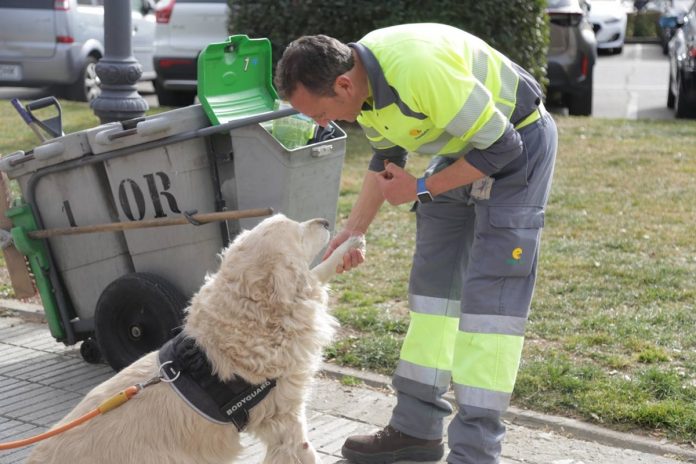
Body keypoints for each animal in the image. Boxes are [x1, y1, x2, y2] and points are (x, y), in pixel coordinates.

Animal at [27, 215, 364, 464]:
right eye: (298, 233)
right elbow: (305, 452)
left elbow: (318, 273)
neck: (250, 313)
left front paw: (350, 243)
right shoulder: (284, 419)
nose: (325, 221)